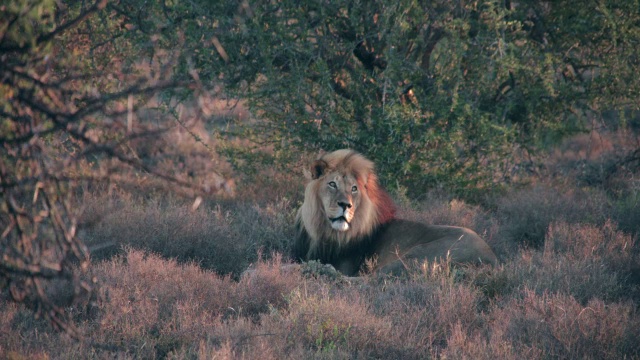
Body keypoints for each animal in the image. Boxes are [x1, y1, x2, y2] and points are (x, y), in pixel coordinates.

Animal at [292, 149, 498, 276]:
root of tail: (493, 258)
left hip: (415, 255)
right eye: (332, 184)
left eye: (353, 189)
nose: (346, 205)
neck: (325, 232)